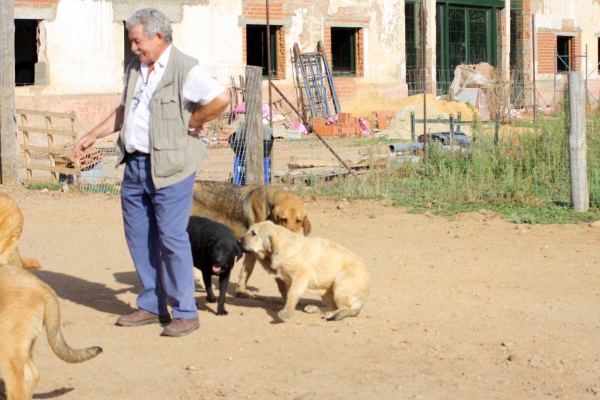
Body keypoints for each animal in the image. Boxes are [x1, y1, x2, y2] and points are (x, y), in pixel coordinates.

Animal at [239, 220, 370, 320]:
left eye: (254, 233)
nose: (238, 241)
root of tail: (363, 300)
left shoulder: (302, 274)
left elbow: (292, 293)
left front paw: (287, 312)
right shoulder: (288, 279)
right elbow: (287, 293)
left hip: (340, 281)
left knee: (344, 308)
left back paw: (330, 314)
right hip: (327, 291)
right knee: (335, 306)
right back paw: (315, 308)